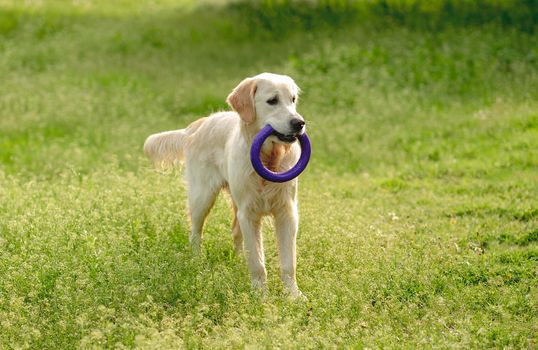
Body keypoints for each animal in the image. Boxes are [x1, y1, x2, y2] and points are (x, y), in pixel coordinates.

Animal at [143, 72, 306, 298]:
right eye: (272, 101)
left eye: (292, 100)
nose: (299, 123)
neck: (268, 159)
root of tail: (199, 125)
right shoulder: (249, 213)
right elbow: (257, 262)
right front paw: (260, 295)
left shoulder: (287, 212)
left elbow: (288, 263)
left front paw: (293, 296)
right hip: (202, 197)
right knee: (195, 232)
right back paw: (197, 261)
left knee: (236, 232)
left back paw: (237, 263)